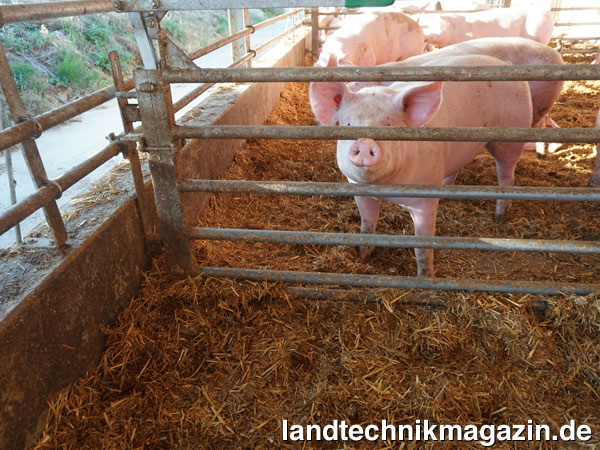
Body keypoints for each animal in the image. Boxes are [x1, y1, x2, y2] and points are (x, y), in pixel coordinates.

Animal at [308, 54, 532, 276]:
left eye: (389, 125)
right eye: (348, 124)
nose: (364, 143)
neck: (386, 187)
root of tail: (505, 64)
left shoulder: (424, 199)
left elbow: (422, 247)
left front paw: (426, 277)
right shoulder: (358, 190)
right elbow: (368, 225)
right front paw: (364, 257)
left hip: (512, 135)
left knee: (506, 173)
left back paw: (499, 217)